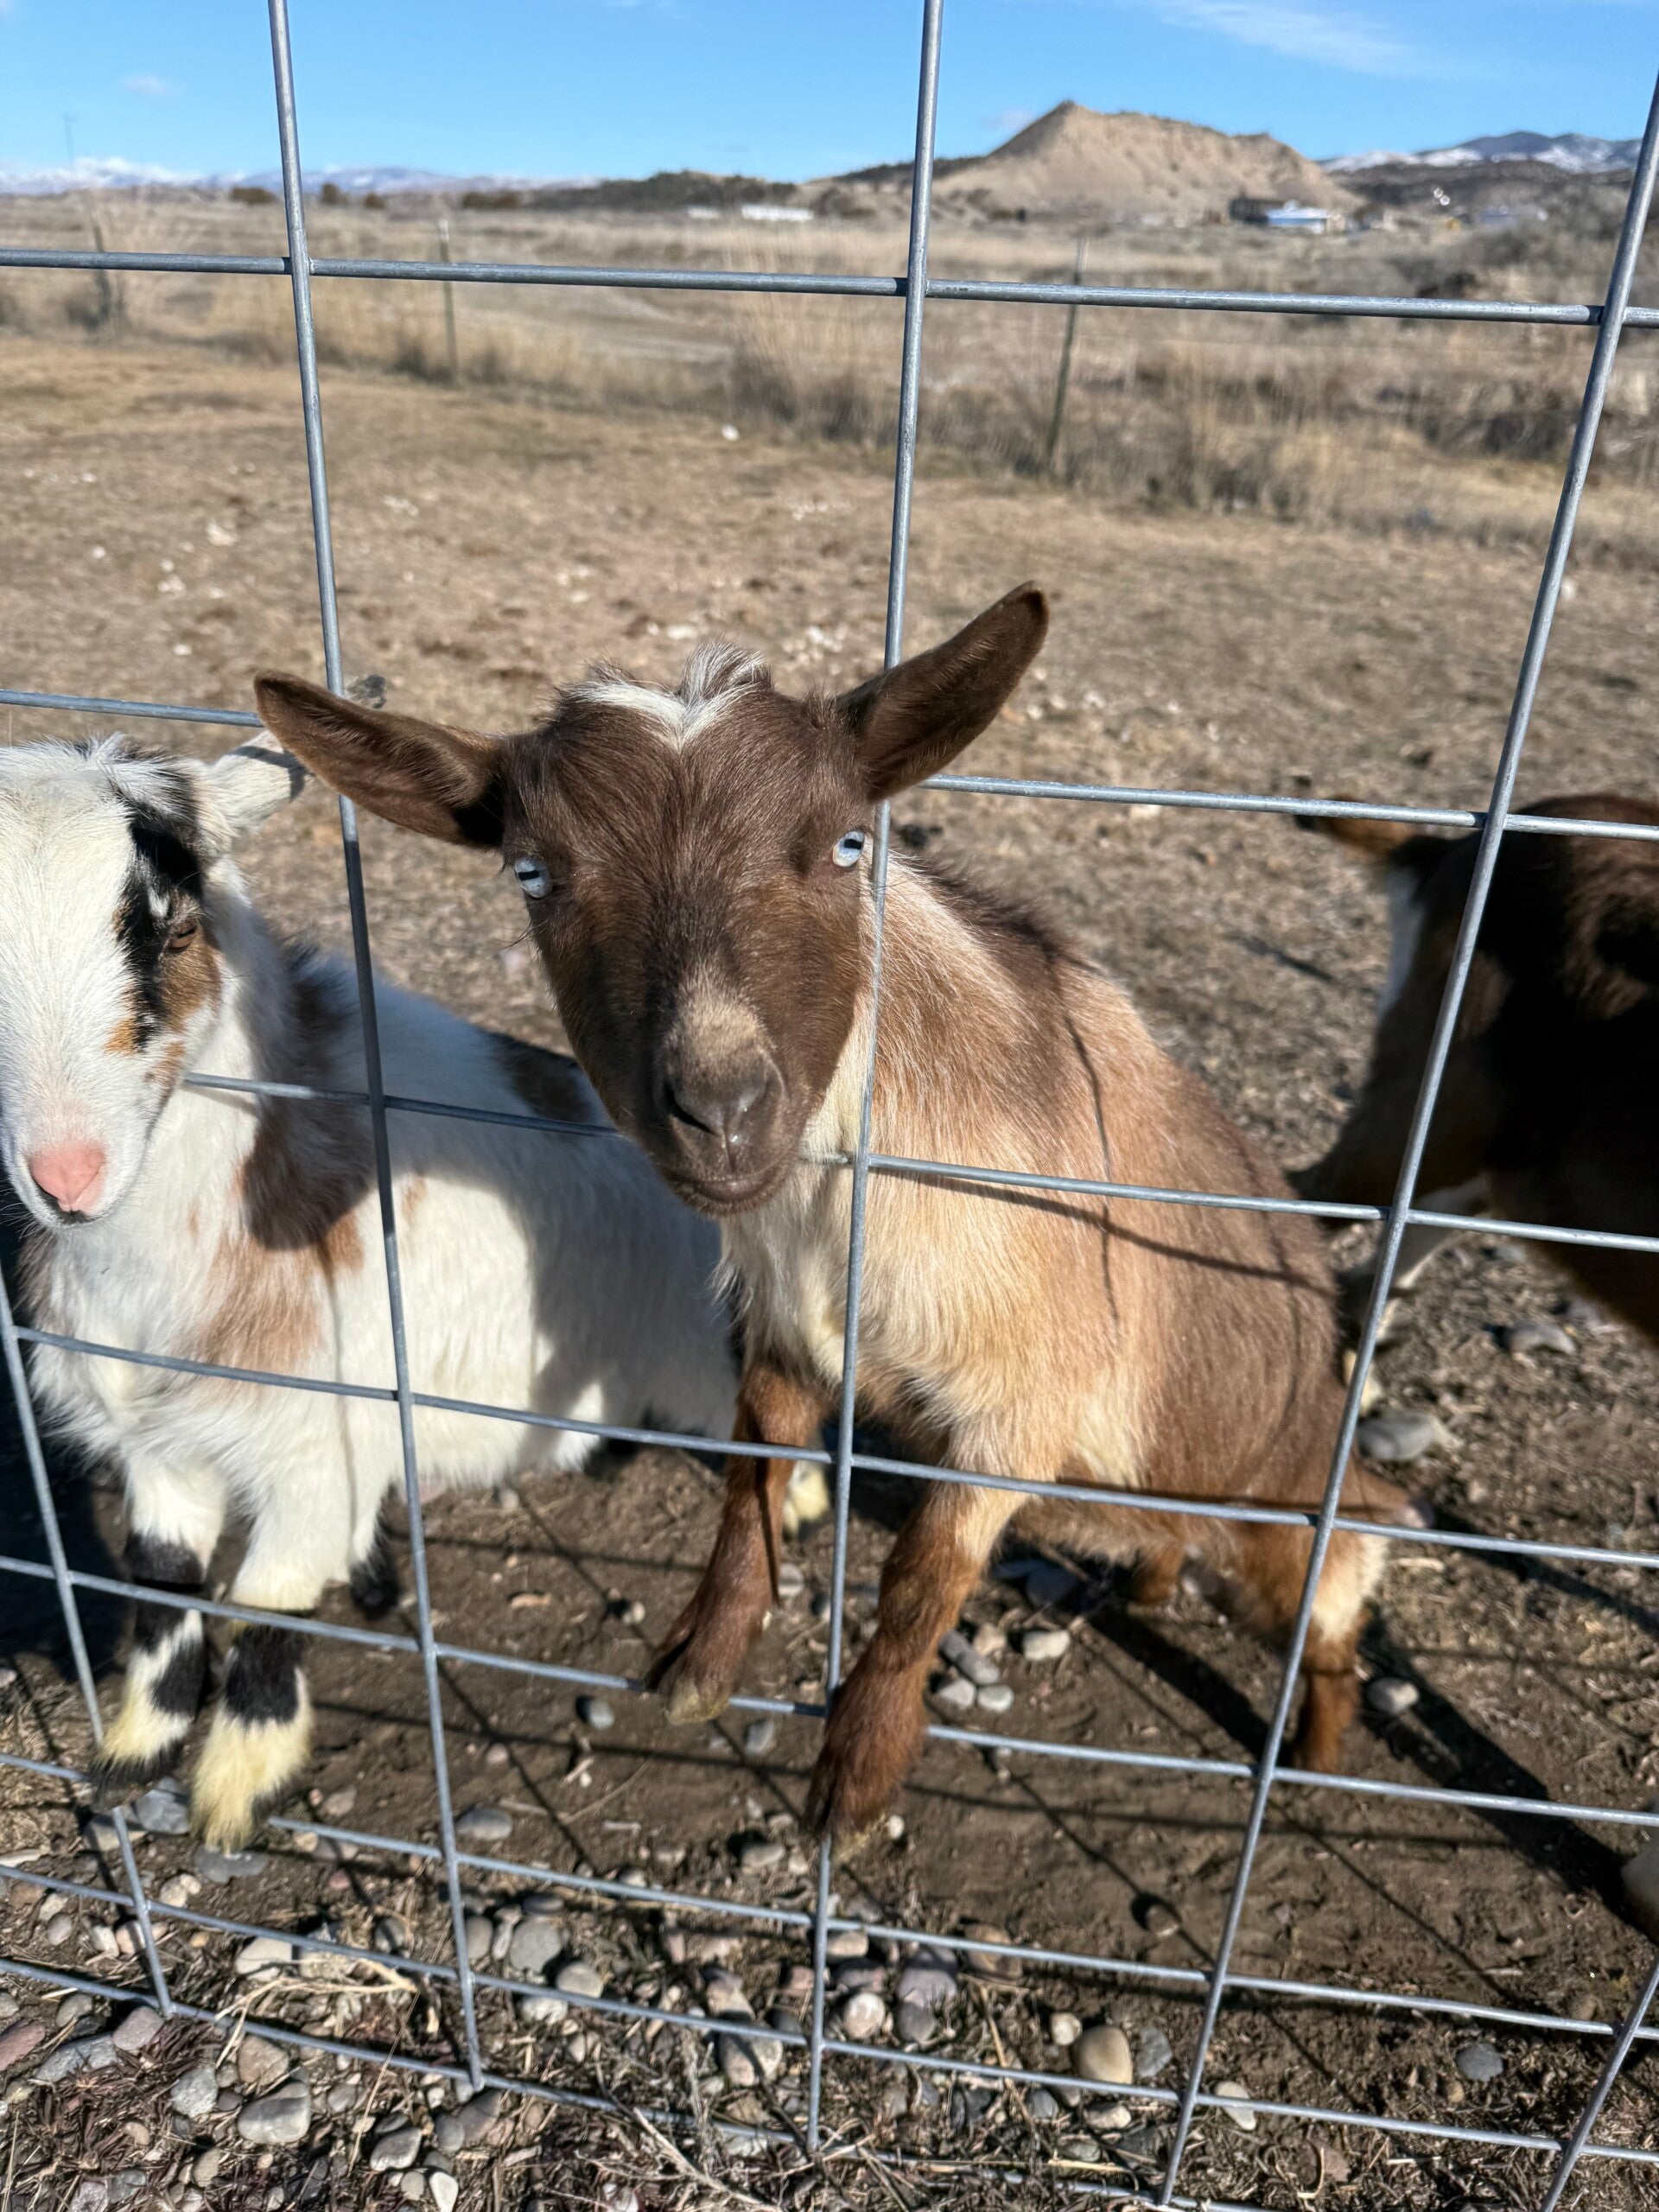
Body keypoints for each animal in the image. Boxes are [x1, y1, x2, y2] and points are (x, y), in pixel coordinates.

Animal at [0, 734, 736, 1849]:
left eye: (175, 927)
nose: (67, 1175)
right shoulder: (157, 1443)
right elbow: (163, 1583)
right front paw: (132, 1757)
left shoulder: (319, 1449)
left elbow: (270, 1605)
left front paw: (236, 1791)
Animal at [257, 589, 1409, 1845]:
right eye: (533, 872)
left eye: (852, 844)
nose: (720, 1112)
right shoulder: (782, 1330)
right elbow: (751, 1486)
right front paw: (697, 1667)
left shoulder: (1020, 1406)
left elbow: (920, 1583)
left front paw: (856, 1780)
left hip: (1301, 1520)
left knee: (1338, 1618)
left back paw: (1314, 1758)